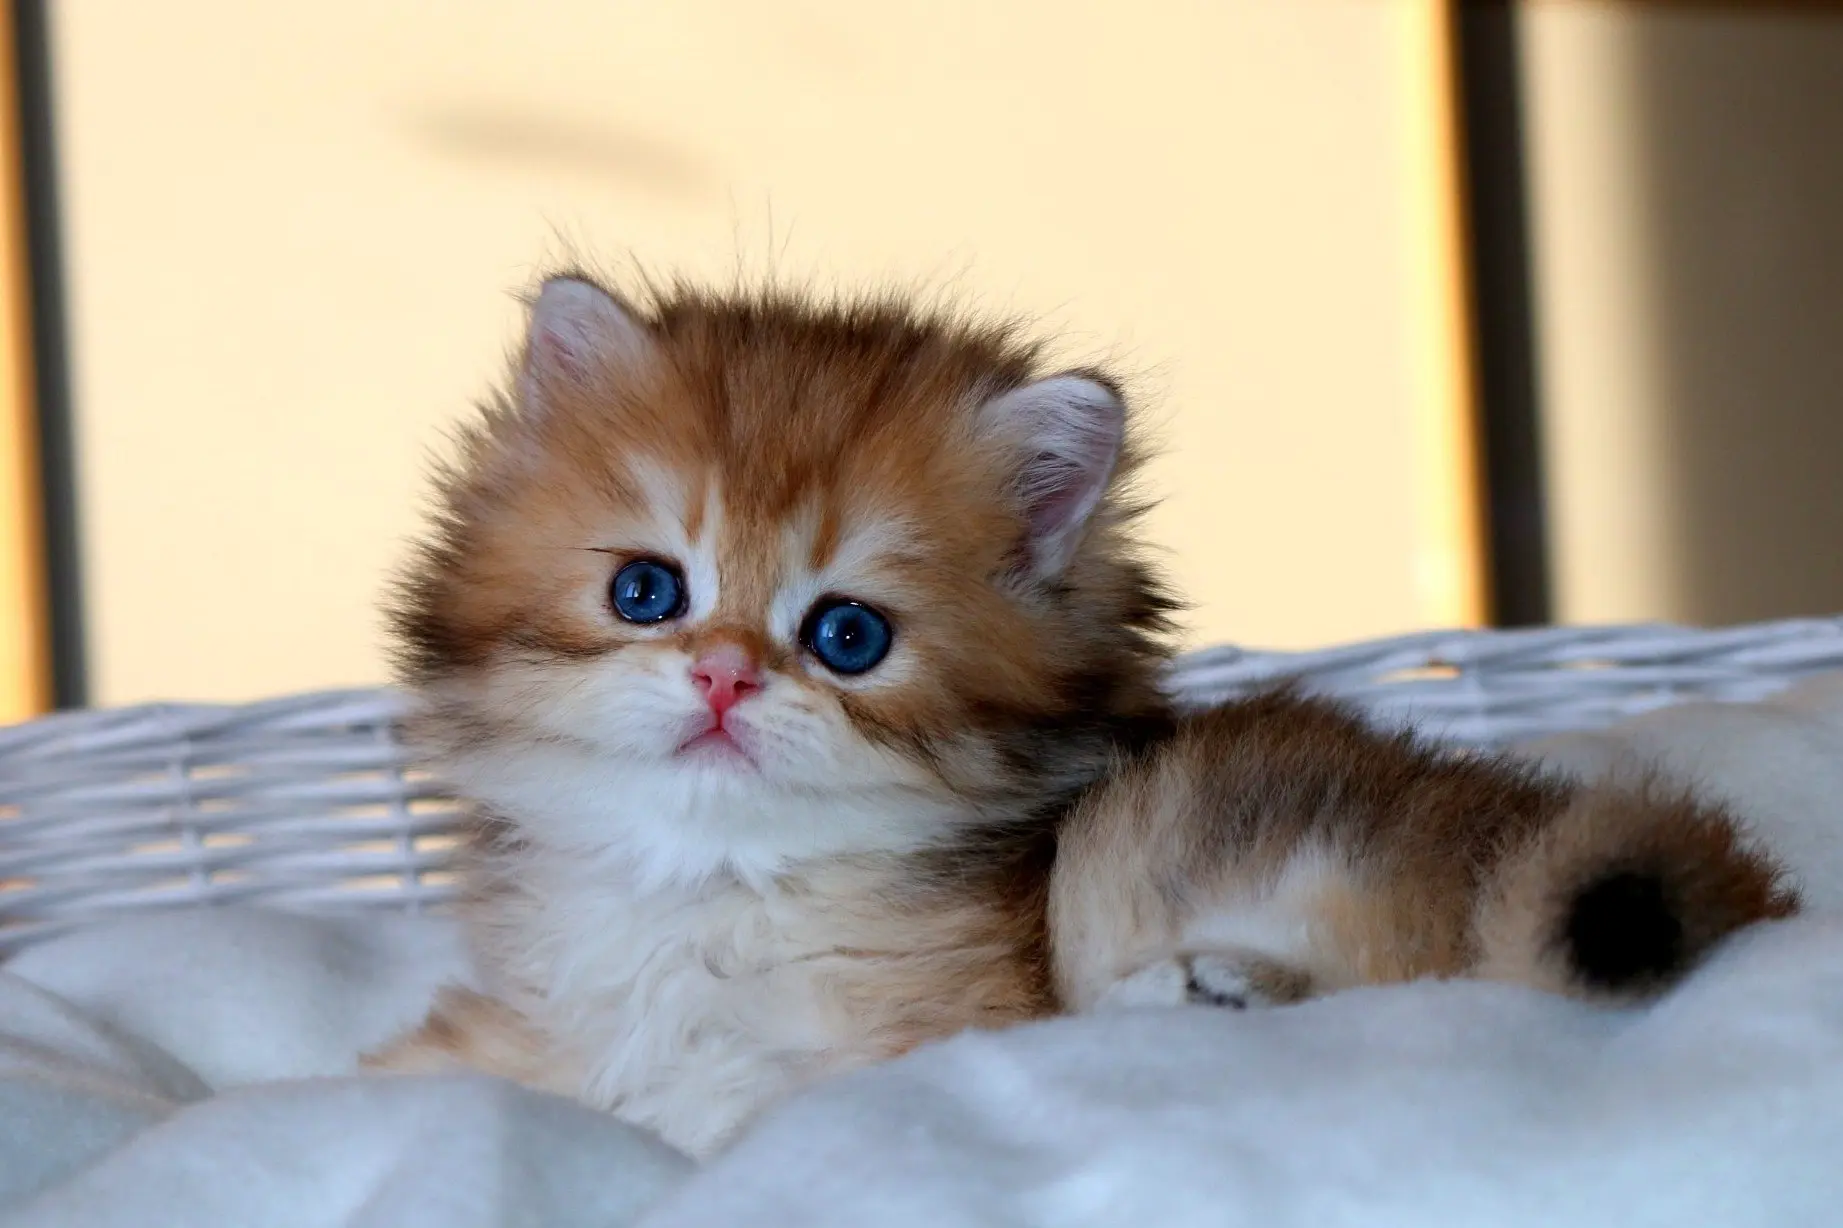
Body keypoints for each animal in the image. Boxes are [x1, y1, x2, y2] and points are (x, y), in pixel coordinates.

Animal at [366, 273, 1796, 1158]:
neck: (711, 886)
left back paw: (1199, 993)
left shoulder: (893, 1045)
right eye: (645, 591)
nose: (722, 675)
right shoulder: (542, 1027)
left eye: (847, 635)